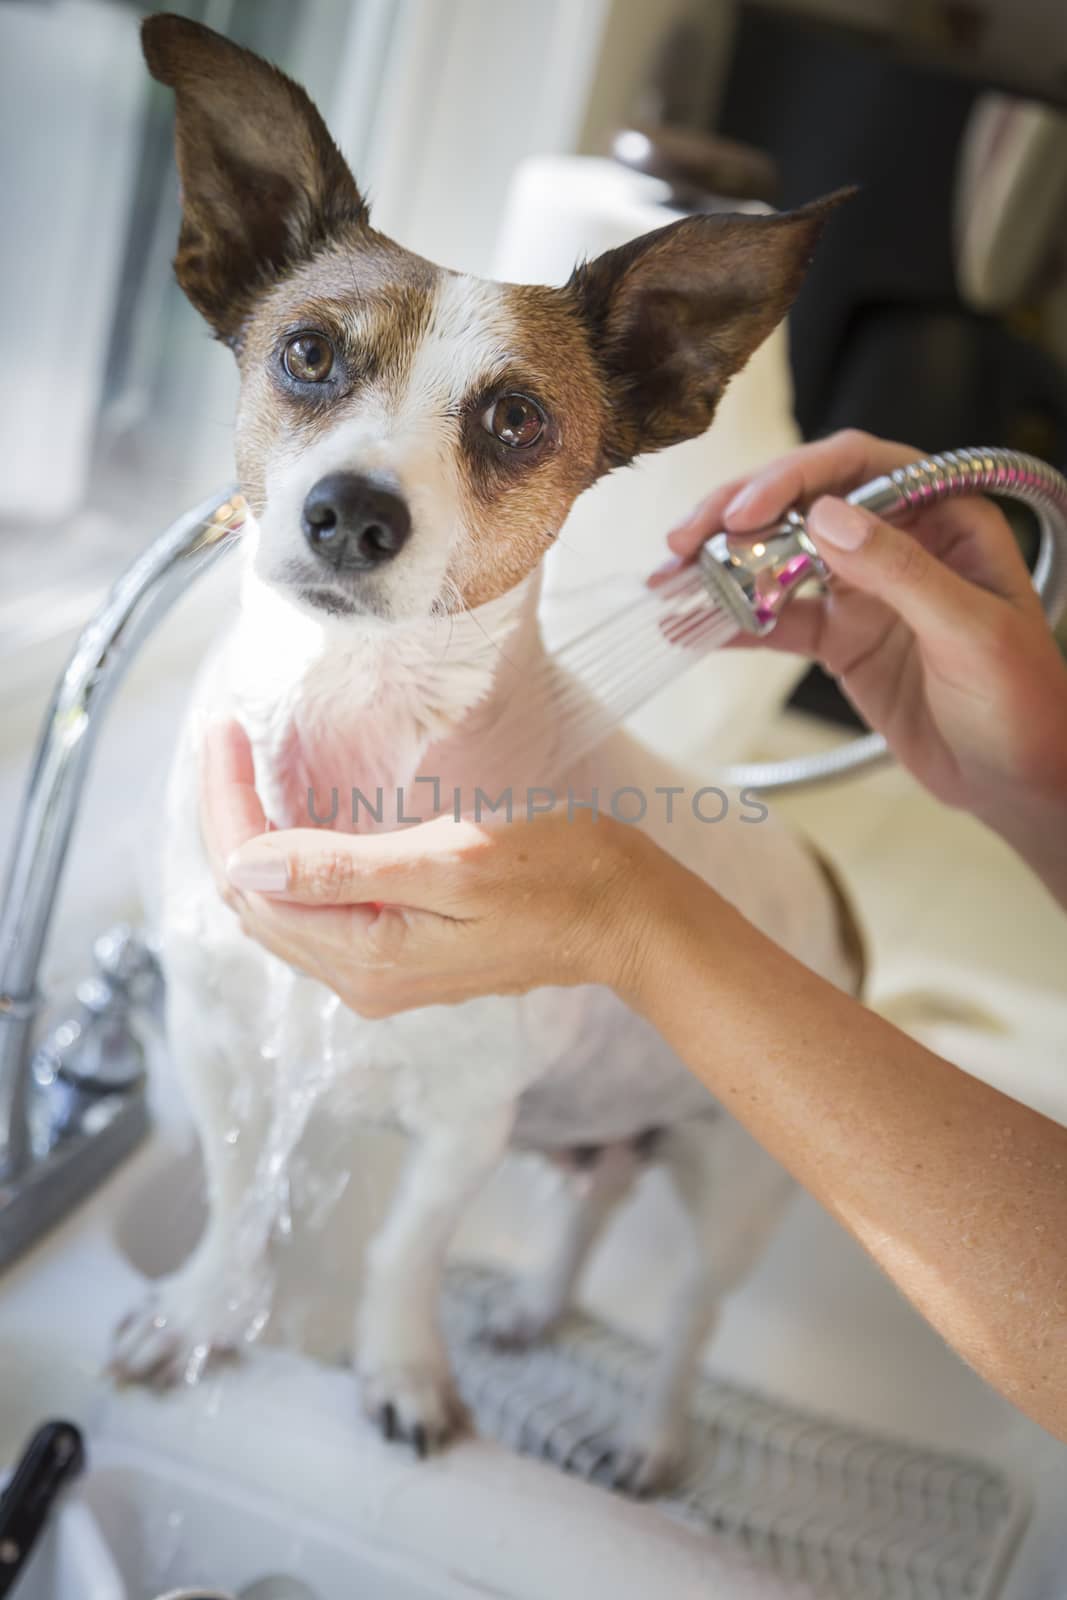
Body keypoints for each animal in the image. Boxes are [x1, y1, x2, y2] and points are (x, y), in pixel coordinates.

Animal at [112, 12, 863, 1491]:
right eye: (307, 353)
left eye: (515, 420)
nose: (353, 513)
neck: (355, 727)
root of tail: (821, 872)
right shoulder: (220, 1041)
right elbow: (233, 1192)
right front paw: (204, 1311)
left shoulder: (463, 1120)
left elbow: (404, 1251)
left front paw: (402, 1375)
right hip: (599, 1139)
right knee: (586, 1212)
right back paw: (531, 1306)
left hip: (736, 1182)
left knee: (687, 1317)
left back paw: (649, 1437)